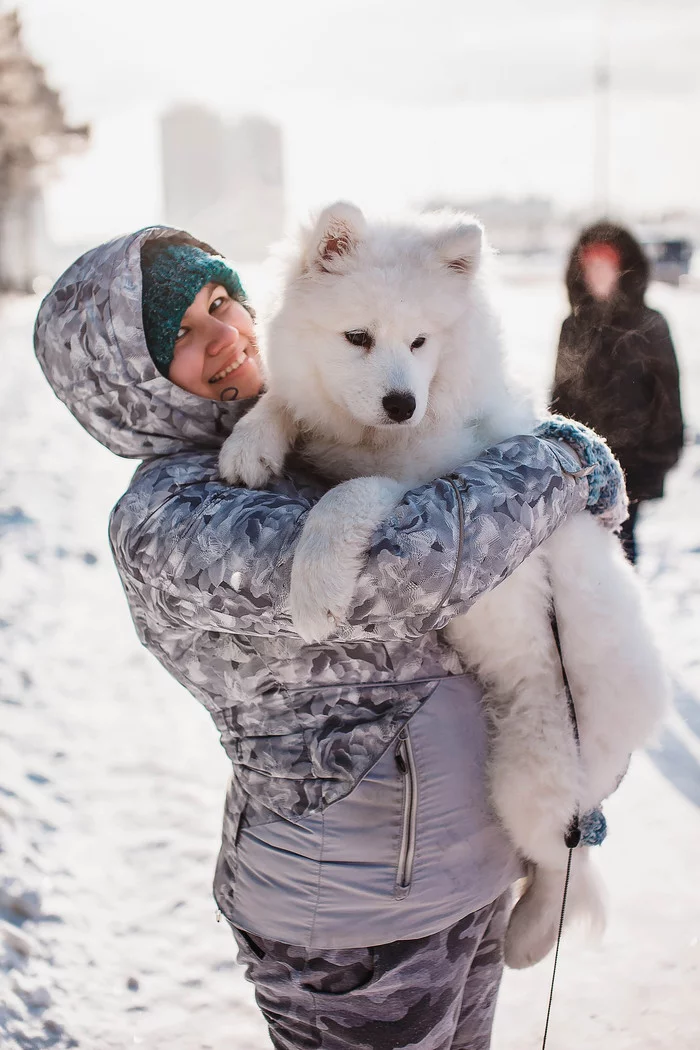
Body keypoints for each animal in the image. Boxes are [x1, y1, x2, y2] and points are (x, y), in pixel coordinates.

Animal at [219, 202, 667, 965]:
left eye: (421, 340)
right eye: (358, 336)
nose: (402, 402)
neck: (380, 437)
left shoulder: (428, 487)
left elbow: (349, 496)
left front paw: (315, 591)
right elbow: (287, 405)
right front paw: (250, 440)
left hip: (534, 765)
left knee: (564, 860)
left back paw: (527, 937)